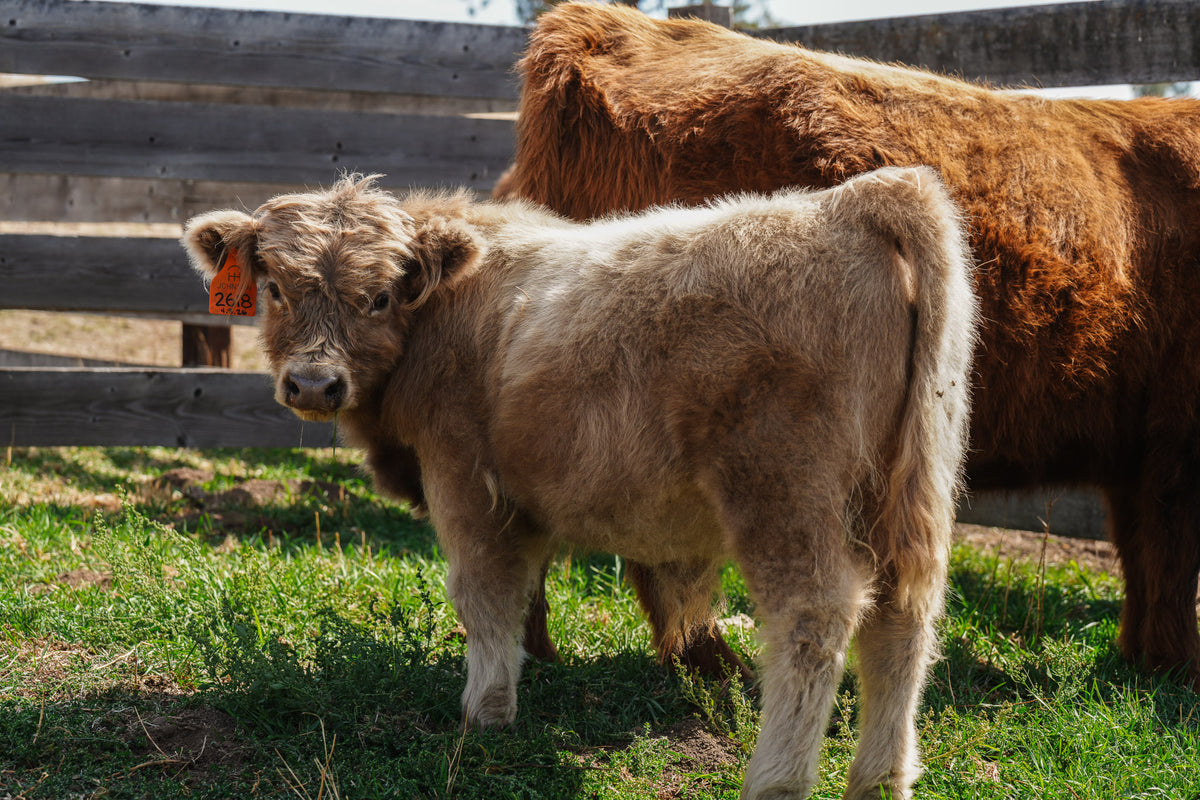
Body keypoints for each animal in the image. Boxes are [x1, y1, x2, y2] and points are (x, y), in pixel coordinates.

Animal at [182, 167, 977, 800]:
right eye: (275, 288)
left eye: (378, 297)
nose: (315, 384)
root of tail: (846, 202)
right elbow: (523, 593)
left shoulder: (463, 479)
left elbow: (483, 592)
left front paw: (484, 713)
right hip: (905, 495)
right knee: (903, 618)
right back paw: (881, 779)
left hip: (783, 494)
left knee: (815, 619)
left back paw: (775, 780)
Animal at [498, 0, 1200, 688]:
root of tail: (598, 26)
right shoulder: (1174, 438)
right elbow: (1169, 555)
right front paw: (1174, 668)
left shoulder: (1143, 449)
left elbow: (1144, 554)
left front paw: (1143, 658)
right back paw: (707, 667)